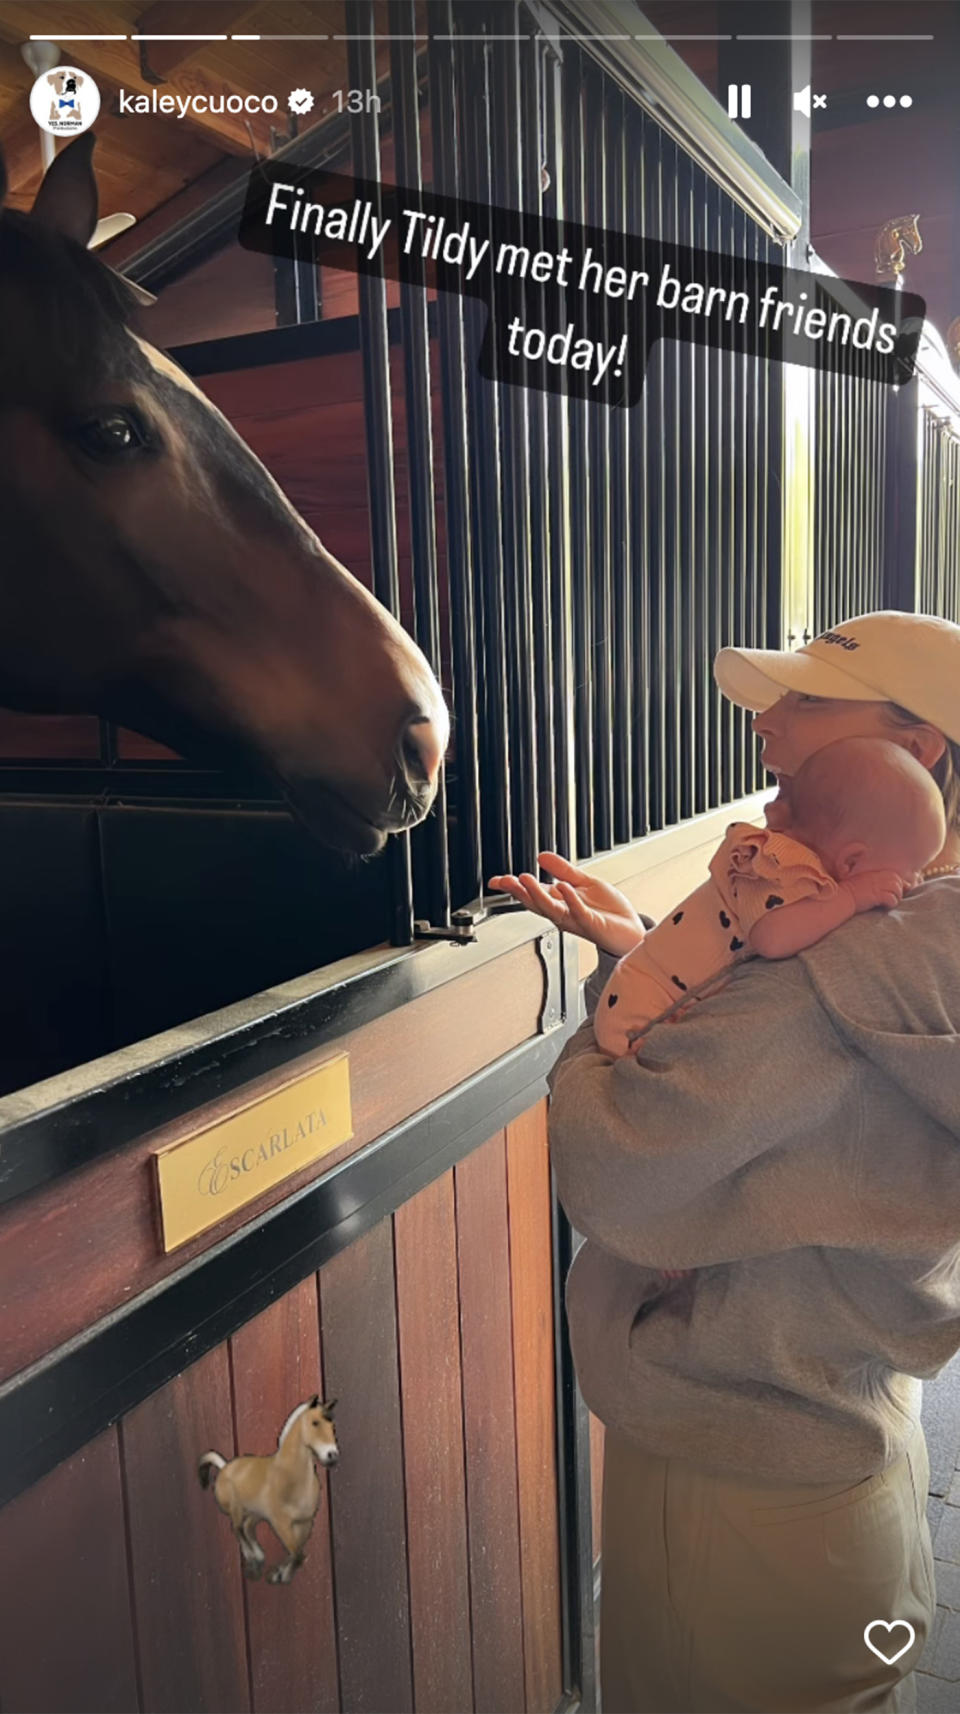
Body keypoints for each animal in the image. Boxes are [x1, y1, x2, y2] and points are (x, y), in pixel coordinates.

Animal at [197, 1384, 339, 1583]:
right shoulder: (281, 1523)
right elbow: (297, 1554)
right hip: (237, 1510)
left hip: (255, 1513)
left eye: (332, 1426)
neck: (290, 1478)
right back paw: (254, 1562)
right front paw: (279, 1576)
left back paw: (259, 1558)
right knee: (238, 1529)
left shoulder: (305, 1523)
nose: (332, 1456)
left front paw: (279, 1573)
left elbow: (298, 1554)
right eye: (315, 1423)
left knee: (247, 1528)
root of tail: (224, 1467)